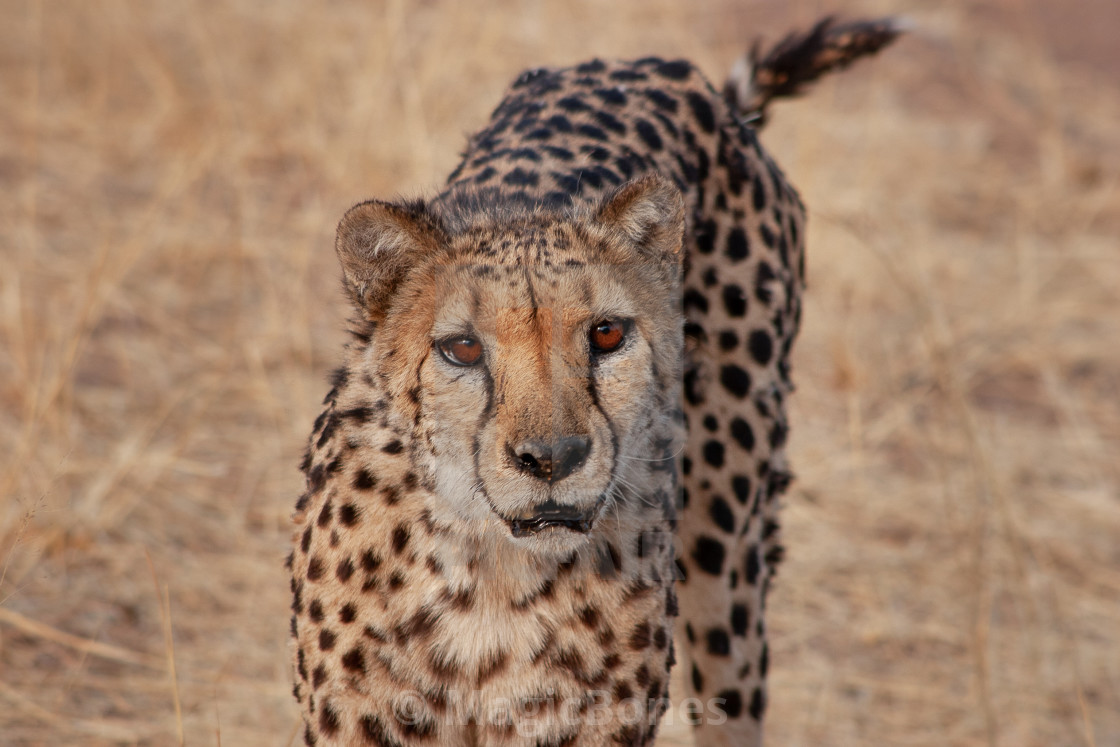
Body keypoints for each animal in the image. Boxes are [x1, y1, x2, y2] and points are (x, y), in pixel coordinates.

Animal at [291, 17, 900, 747]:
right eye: (462, 349)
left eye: (607, 334)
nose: (552, 458)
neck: (487, 568)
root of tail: (675, 75)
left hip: (726, 557)